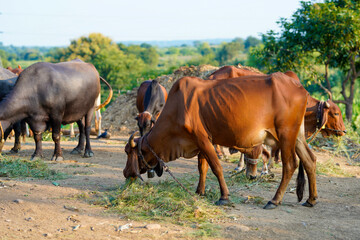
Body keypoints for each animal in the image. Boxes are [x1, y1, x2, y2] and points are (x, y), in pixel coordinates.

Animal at [124, 73, 318, 210]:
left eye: (128, 152)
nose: (126, 173)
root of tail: (299, 87)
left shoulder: (202, 139)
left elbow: (216, 167)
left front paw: (224, 197)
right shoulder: (201, 141)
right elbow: (202, 167)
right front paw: (200, 191)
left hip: (286, 134)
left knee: (290, 165)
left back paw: (275, 200)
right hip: (297, 135)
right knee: (310, 160)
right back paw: (311, 199)